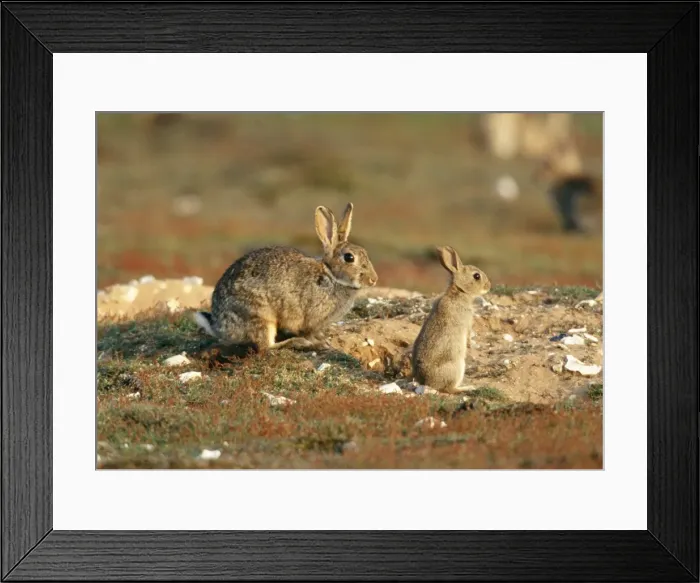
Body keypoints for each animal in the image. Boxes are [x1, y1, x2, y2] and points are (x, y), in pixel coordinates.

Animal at [194, 202, 378, 352]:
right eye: (349, 257)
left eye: (365, 252)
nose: (374, 279)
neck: (331, 276)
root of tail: (219, 327)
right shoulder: (310, 318)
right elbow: (309, 332)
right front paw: (319, 343)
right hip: (259, 315)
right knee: (265, 346)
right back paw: (296, 342)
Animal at [411, 246, 491, 394]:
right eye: (476, 276)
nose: (489, 285)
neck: (459, 292)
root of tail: (428, 382)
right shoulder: (466, 322)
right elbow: (468, 335)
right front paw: (471, 345)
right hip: (457, 366)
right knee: (449, 389)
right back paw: (468, 387)